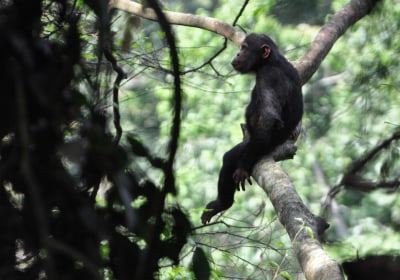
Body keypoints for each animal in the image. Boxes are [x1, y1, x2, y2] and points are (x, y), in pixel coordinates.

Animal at [202, 34, 302, 224]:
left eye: (245, 48)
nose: (238, 53)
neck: (269, 62)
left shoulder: (268, 78)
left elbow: (269, 118)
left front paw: (241, 169)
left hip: (257, 146)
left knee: (229, 158)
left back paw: (222, 203)